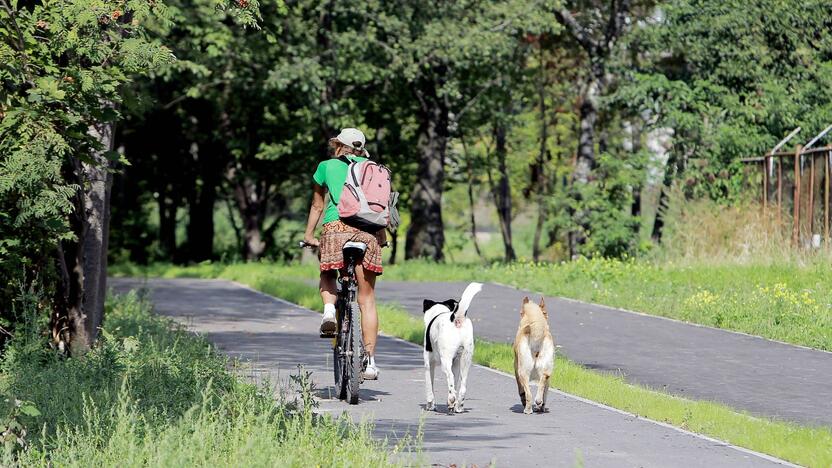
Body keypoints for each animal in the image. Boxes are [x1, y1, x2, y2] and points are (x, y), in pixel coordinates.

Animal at [422, 282, 480, 414]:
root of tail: (456, 318)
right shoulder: (456, 364)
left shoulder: (428, 364)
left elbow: (429, 387)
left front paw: (430, 405)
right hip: (465, 360)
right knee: (462, 385)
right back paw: (458, 406)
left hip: (446, 360)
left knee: (450, 378)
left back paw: (451, 401)